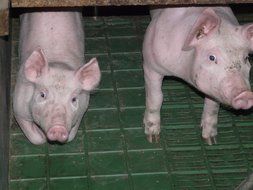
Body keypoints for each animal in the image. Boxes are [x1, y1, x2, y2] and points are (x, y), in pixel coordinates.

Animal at [12, 11, 100, 145]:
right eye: (42, 95)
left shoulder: (82, 108)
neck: (58, 63)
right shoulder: (18, 106)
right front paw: (42, 137)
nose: (58, 128)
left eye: (74, 99)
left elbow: (71, 136)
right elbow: (34, 137)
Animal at [143, 6, 253, 145]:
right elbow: (156, 98)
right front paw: (152, 137)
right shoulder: (150, 65)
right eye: (212, 57)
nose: (245, 94)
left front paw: (210, 140)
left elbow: (213, 106)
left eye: (246, 58)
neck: (184, 73)